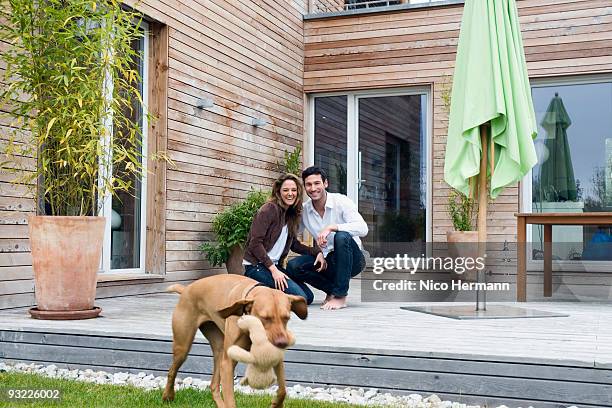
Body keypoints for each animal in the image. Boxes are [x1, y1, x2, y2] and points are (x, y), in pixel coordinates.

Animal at [163, 274, 308, 408]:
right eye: (265, 318)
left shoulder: (276, 357)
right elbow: (230, 400)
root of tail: (186, 289)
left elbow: (283, 389)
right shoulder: (228, 363)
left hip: (219, 349)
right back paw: (167, 396)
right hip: (183, 346)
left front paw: (276, 404)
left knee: (214, 385)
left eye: (286, 318)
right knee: (172, 371)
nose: (282, 343)